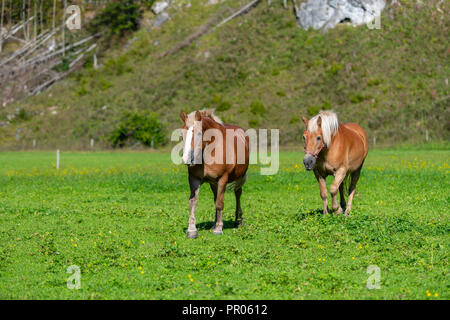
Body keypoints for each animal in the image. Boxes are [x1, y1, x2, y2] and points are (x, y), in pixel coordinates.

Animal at [179, 110, 250, 238]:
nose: (186, 159)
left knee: (237, 194)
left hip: (239, 178)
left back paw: (238, 221)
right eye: (182, 134)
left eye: (199, 133)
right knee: (216, 197)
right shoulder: (194, 179)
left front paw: (219, 229)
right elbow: (193, 202)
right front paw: (191, 230)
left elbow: (220, 203)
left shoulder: (223, 179)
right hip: (213, 183)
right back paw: (214, 223)